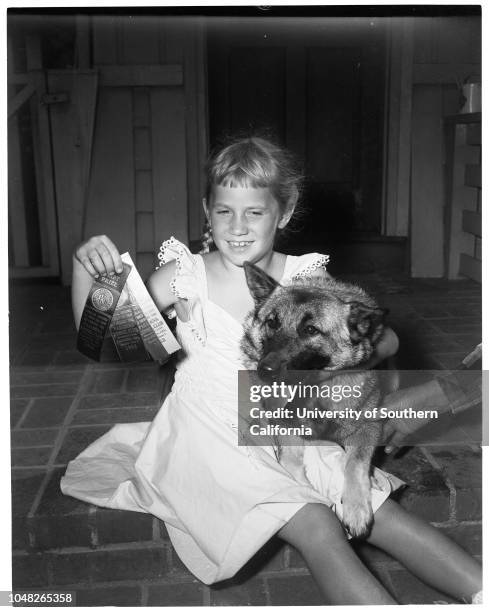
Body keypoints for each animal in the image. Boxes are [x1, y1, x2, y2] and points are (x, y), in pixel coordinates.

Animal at [240, 262, 388, 536]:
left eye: (310, 330)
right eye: (272, 323)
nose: (265, 370)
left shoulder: (369, 427)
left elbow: (356, 463)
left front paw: (357, 509)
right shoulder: (285, 430)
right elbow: (290, 461)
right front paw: (309, 492)